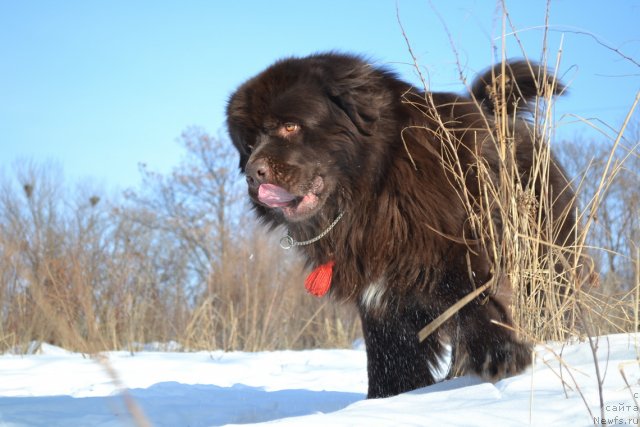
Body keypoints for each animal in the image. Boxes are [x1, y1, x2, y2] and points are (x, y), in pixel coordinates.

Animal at [229, 52, 576, 398]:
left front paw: (500, 355)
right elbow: (390, 354)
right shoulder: (379, 296)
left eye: (290, 126)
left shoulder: (457, 248)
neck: (373, 186)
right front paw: (388, 397)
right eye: (249, 143)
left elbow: (476, 295)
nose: (254, 172)